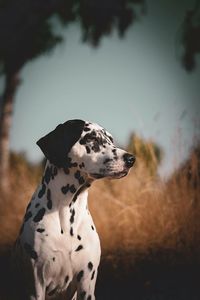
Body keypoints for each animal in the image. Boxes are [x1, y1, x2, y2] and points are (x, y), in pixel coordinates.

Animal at [13, 119, 135, 300]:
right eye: (91, 138)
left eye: (111, 140)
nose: (131, 159)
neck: (66, 212)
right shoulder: (36, 284)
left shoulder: (87, 283)